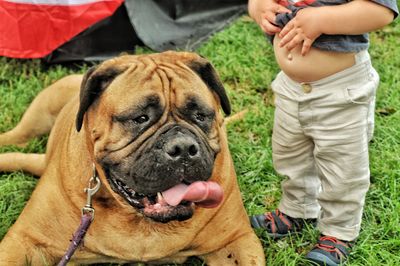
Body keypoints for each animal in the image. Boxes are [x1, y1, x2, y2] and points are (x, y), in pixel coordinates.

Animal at [0, 51, 266, 264]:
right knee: (18, 137)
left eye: (200, 115)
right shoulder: (24, 241)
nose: (182, 147)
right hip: (41, 111)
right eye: (140, 118)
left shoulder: (236, 241)